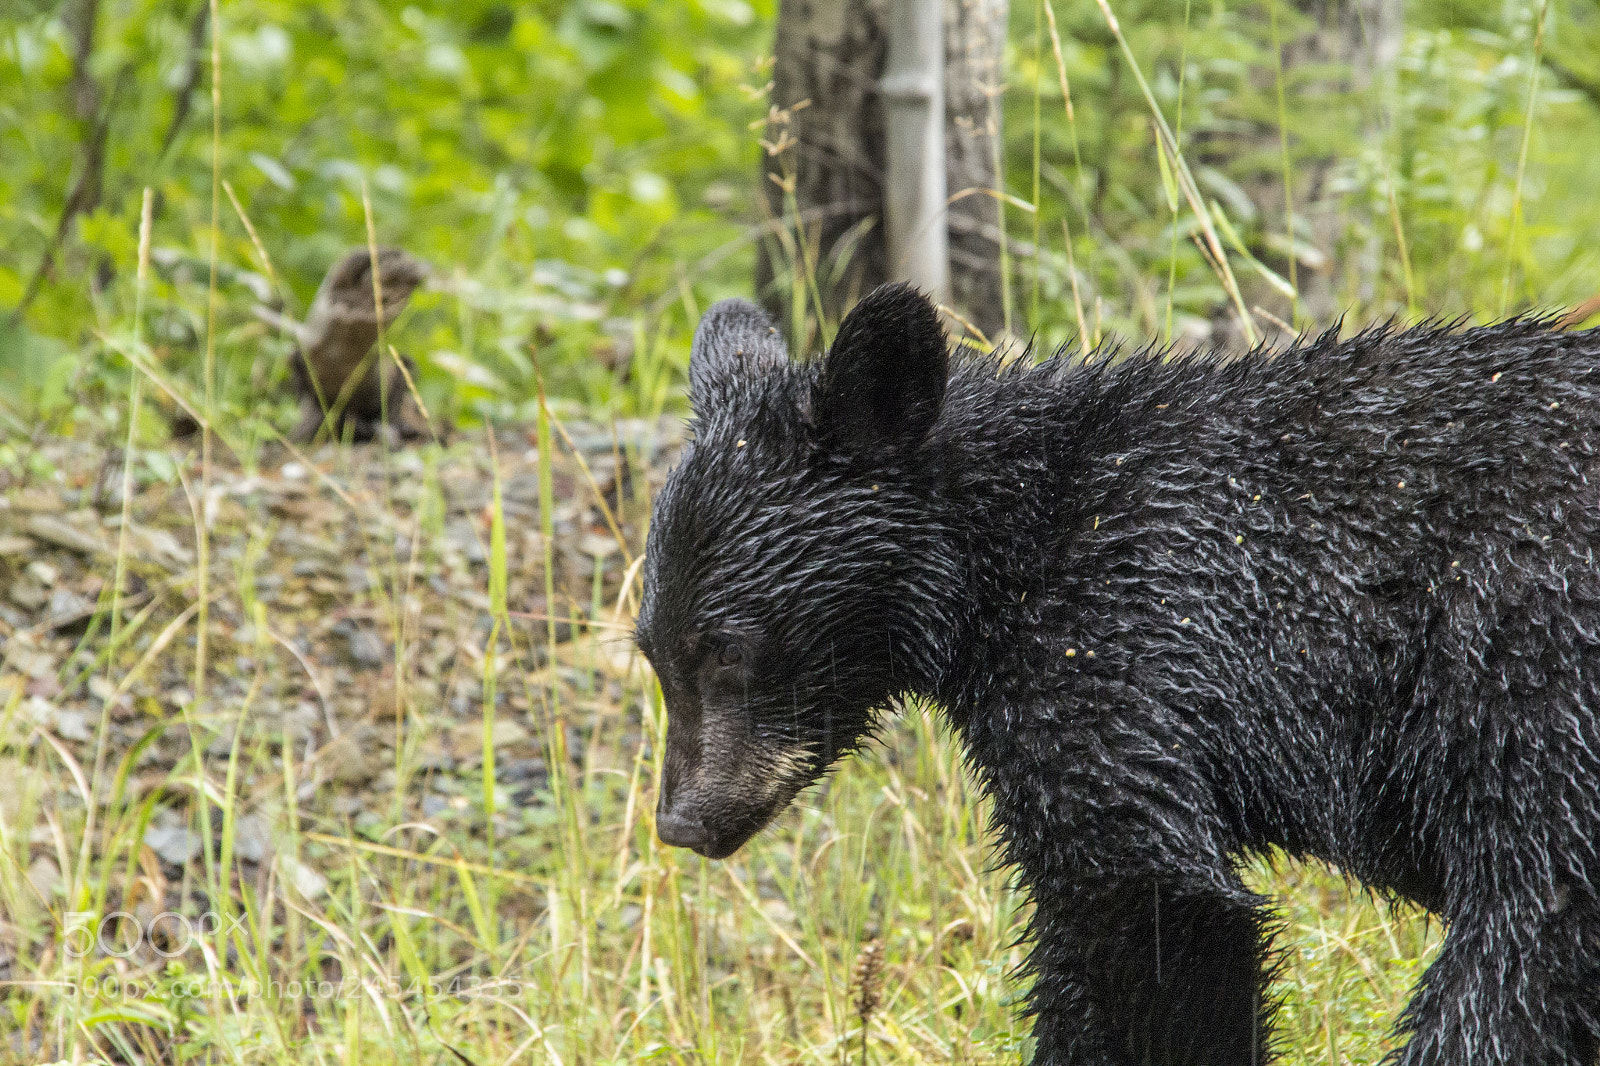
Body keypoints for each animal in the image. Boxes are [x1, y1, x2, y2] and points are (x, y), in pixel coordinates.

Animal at [634, 282, 1600, 1065]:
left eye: (727, 647)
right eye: (651, 648)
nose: (682, 820)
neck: (1006, 547)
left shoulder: (1118, 642)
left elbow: (1143, 905)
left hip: (1527, 698)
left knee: (1518, 959)